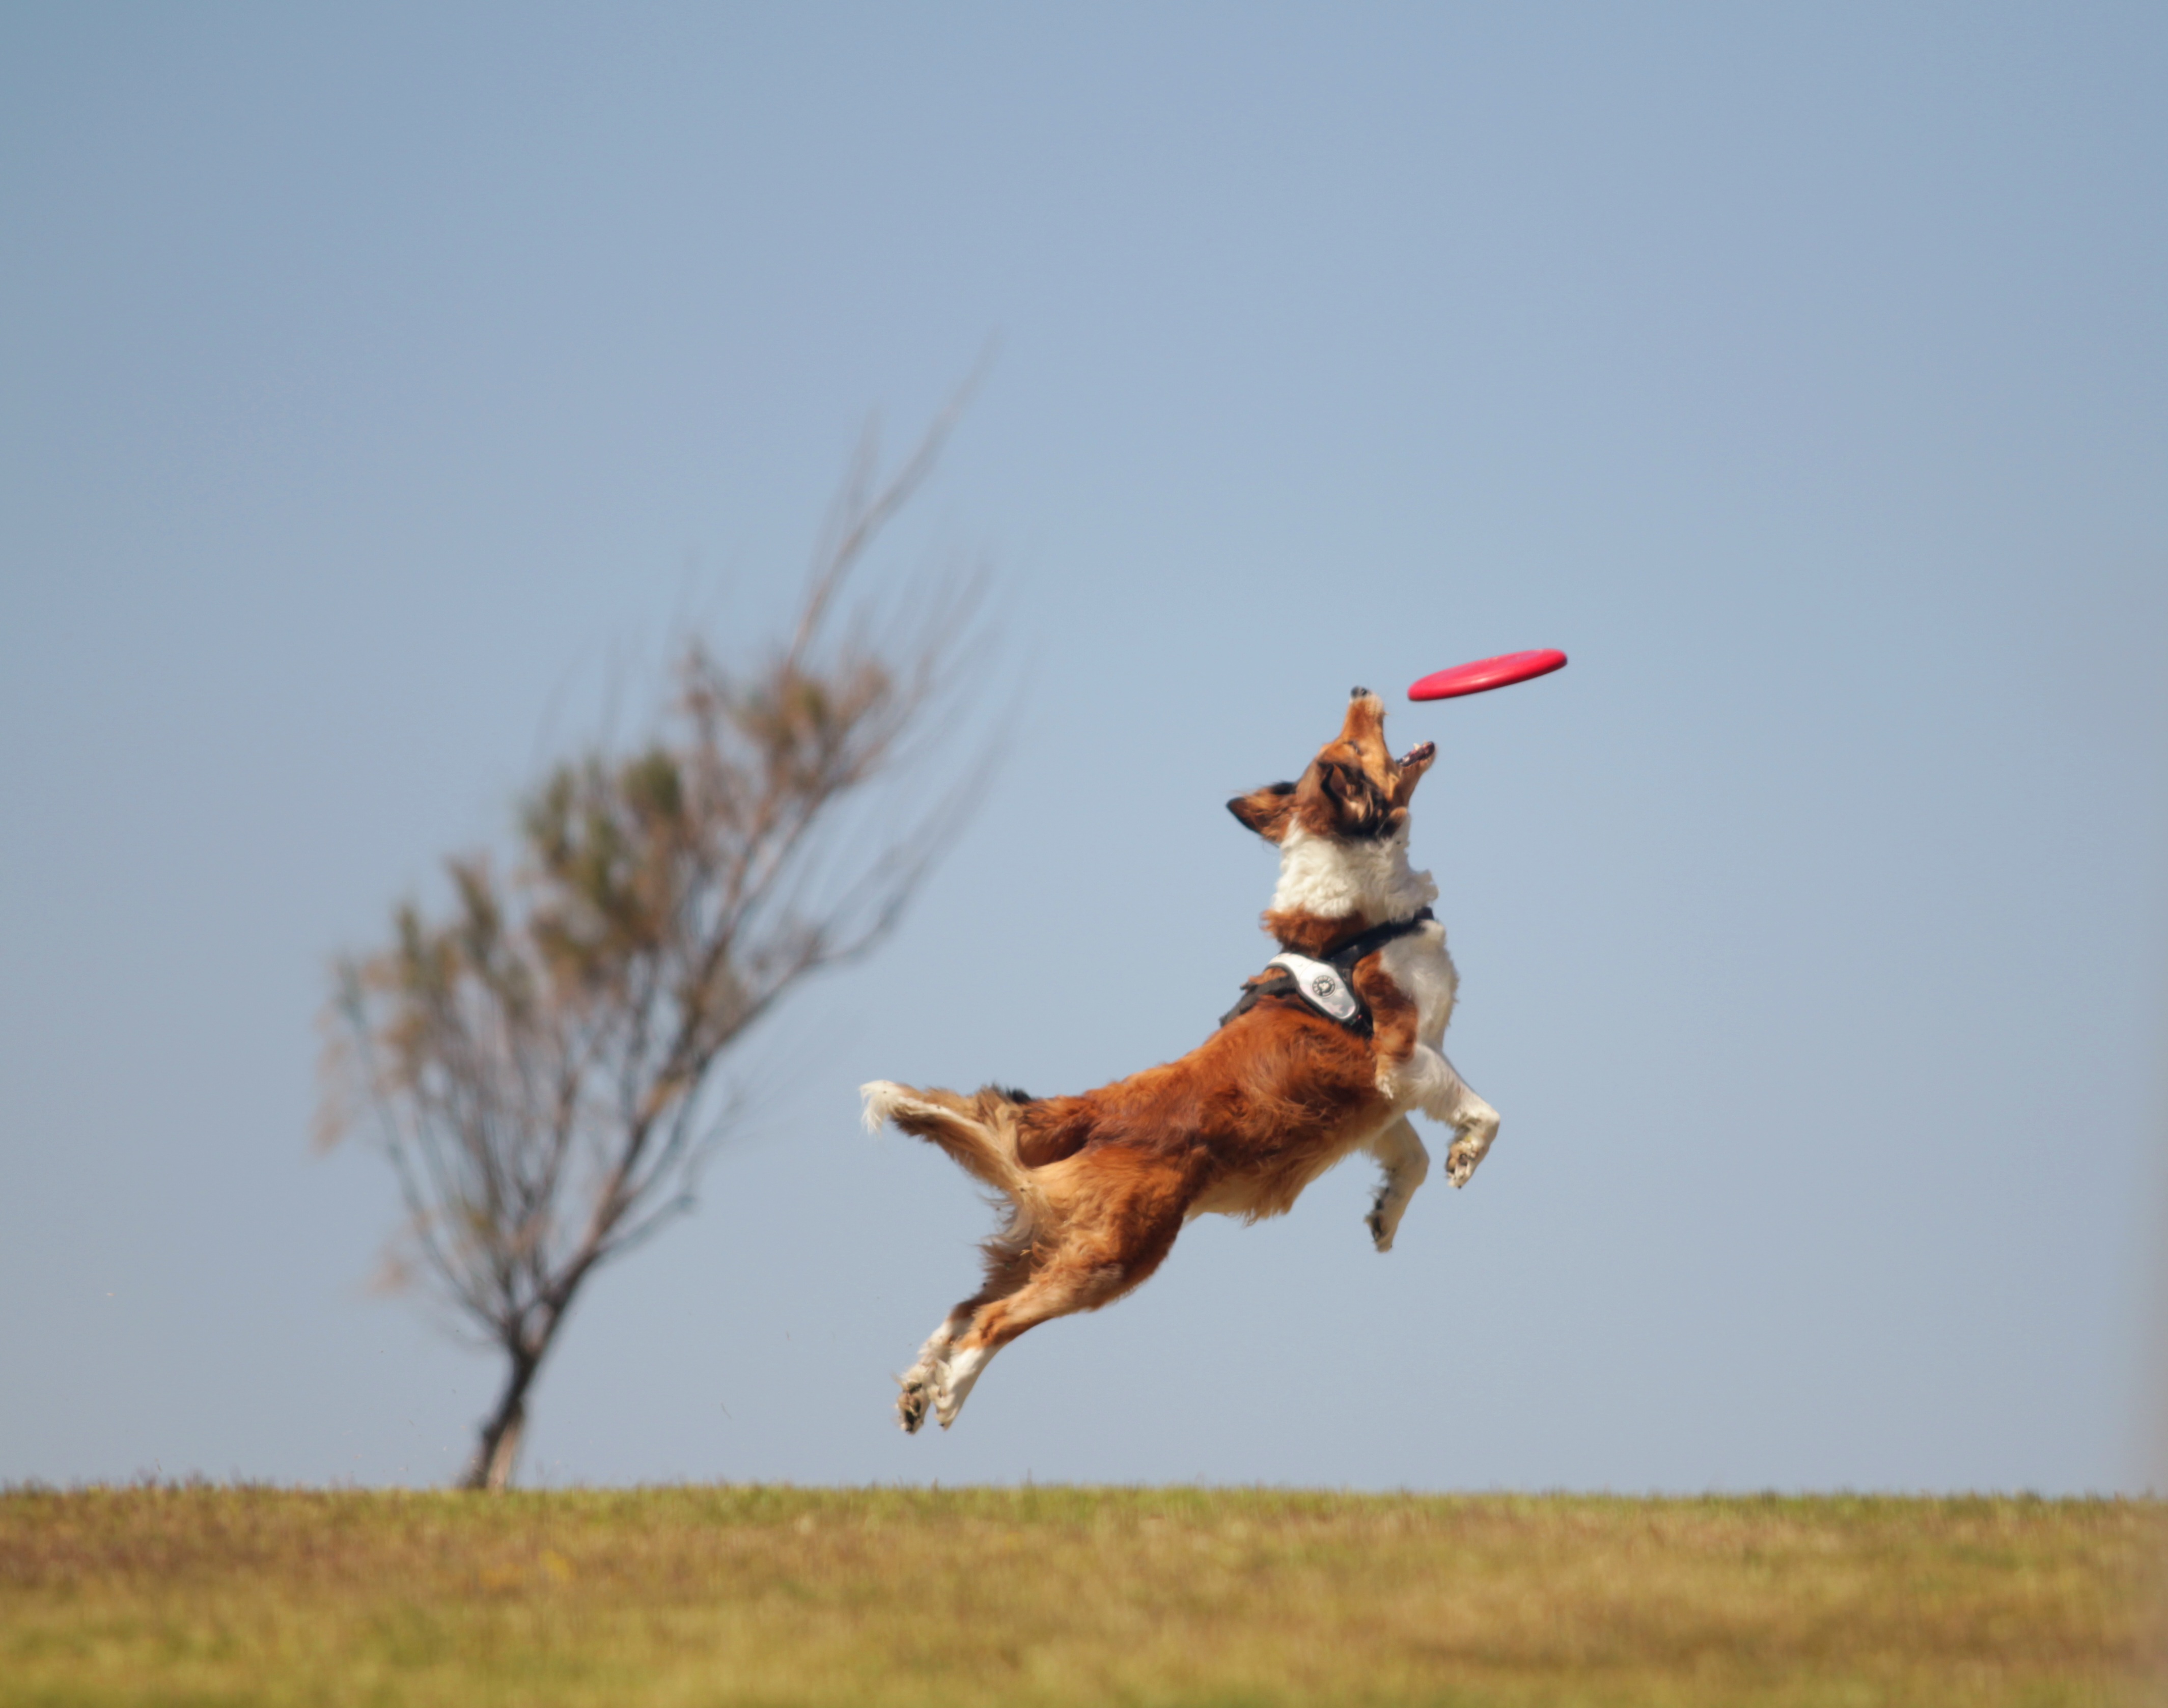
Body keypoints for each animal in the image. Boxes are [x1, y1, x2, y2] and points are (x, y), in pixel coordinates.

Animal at [858, 685, 1491, 1430]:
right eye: (1354, 747)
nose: (1360, 690)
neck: (1357, 921)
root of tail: (1090, 1109)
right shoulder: (1405, 1054)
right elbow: (1484, 1112)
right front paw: (1465, 1155)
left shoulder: (1376, 1102)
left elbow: (1410, 1158)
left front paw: (1385, 1215)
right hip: (1114, 1257)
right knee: (992, 1320)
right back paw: (950, 1391)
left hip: (1050, 1241)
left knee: (964, 1306)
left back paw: (917, 1384)